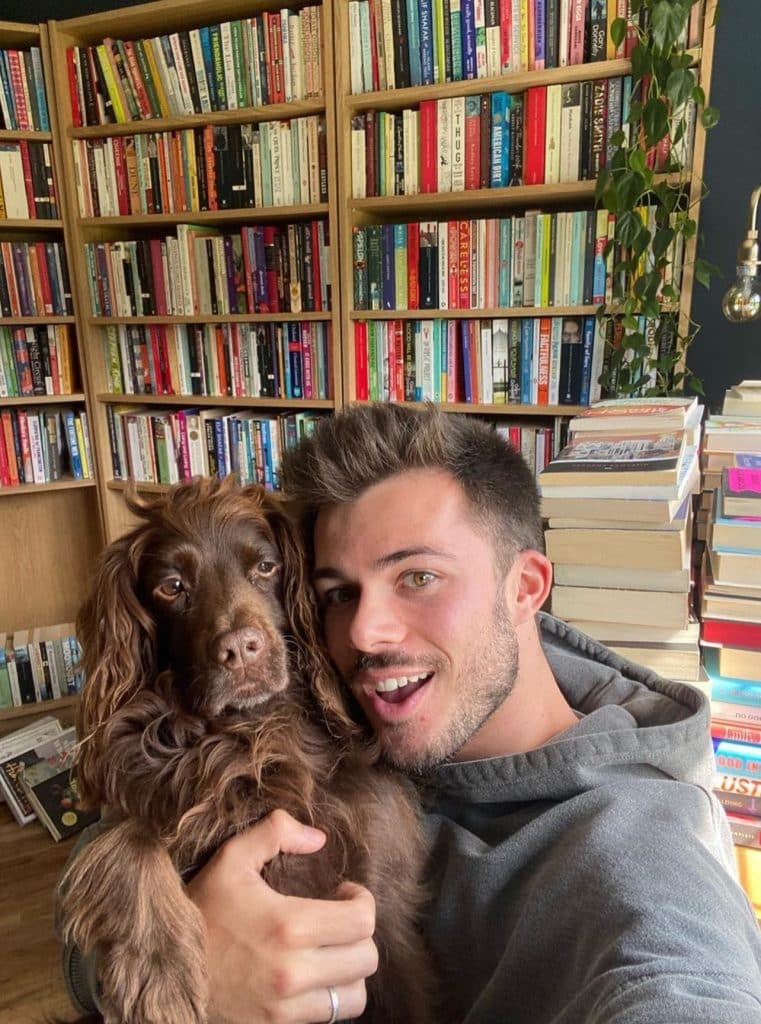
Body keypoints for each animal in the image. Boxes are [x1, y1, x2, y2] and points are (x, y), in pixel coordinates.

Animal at [59, 479, 434, 1024]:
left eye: (265, 566)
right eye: (172, 587)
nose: (241, 650)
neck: (253, 733)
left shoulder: (385, 906)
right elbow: (126, 833)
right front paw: (158, 970)